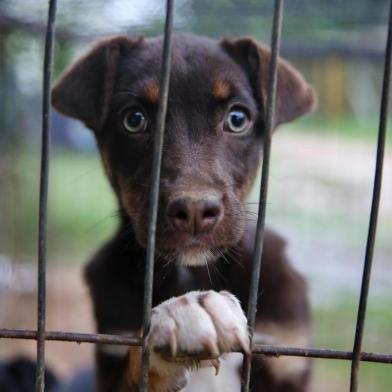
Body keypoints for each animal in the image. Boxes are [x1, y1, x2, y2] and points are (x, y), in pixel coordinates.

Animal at [51, 34, 316, 392]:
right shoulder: (113, 346)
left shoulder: (282, 347)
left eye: (237, 119)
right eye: (134, 120)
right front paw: (183, 313)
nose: (194, 210)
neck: (193, 270)